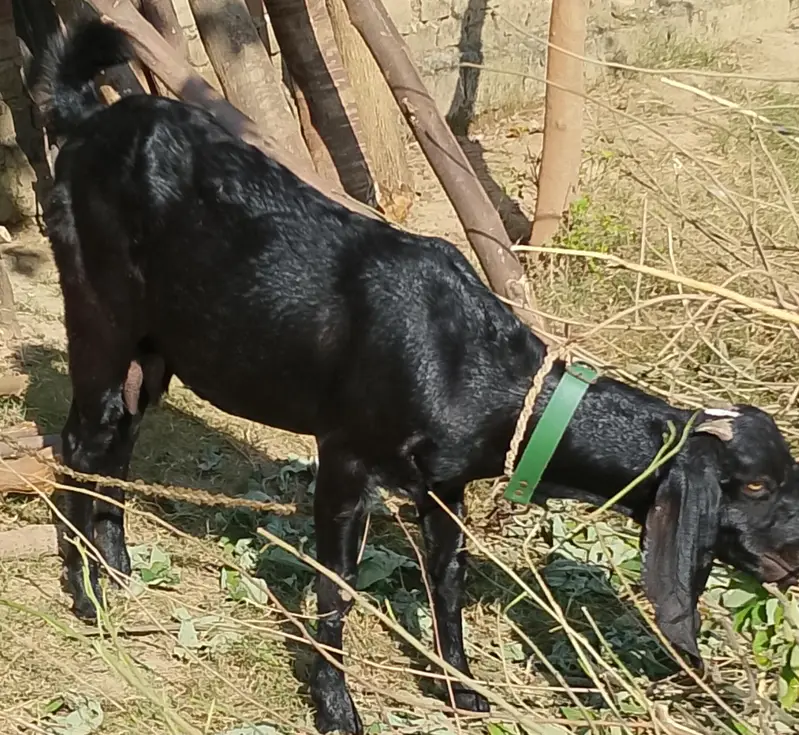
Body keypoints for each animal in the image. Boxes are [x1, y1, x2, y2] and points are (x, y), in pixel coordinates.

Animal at [32, 20, 799, 735]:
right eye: (754, 486)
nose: (794, 556)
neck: (473, 367)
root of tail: (85, 117)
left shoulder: (445, 488)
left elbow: (447, 583)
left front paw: (461, 688)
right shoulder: (345, 459)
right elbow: (336, 588)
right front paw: (338, 710)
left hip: (157, 351)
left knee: (121, 441)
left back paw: (119, 568)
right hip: (99, 315)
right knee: (79, 442)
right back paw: (87, 595)